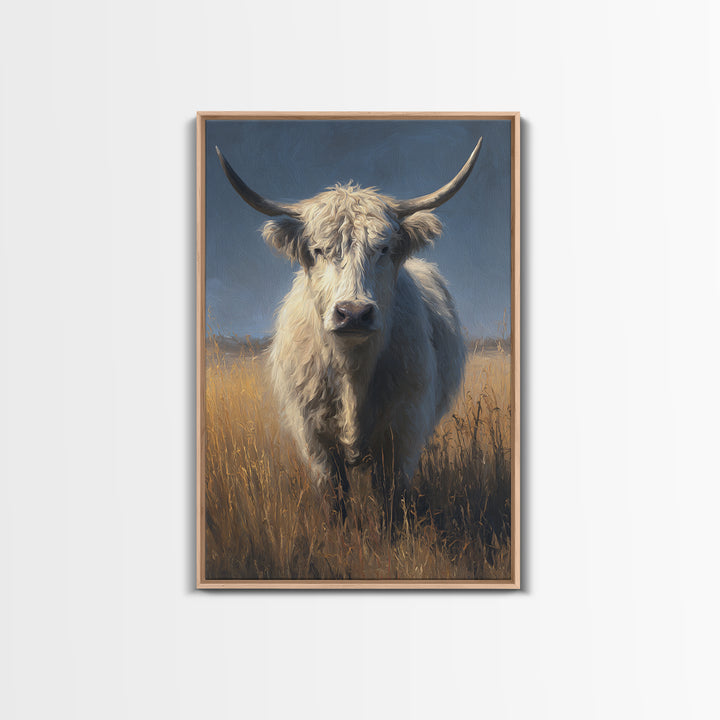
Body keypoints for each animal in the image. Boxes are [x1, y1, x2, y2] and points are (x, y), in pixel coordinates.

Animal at [215, 138, 482, 509]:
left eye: (383, 248)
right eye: (318, 249)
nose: (353, 312)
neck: (352, 370)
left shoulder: (403, 433)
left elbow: (390, 499)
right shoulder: (315, 440)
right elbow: (335, 500)